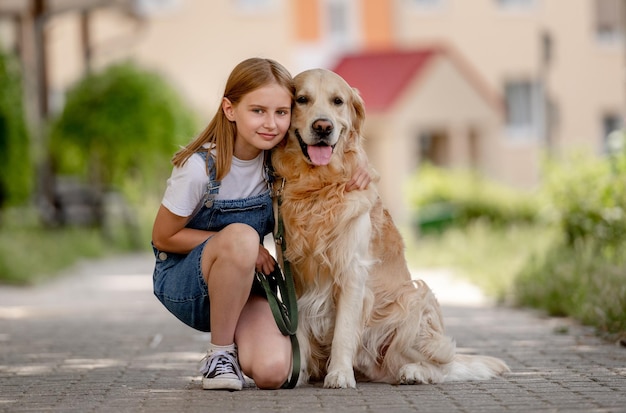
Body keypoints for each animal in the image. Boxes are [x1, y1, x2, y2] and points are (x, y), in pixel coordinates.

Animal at [270, 69, 508, 388]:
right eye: (301, 99)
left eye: (337, 101)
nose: (323, 127)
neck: (318, 187)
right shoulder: (291, 272)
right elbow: (299, 332)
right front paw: (297, 374)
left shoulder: (352, 271)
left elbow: (343, 332)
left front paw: (340, 374)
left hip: (415, 300)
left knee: (439, 365)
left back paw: (414, 372)